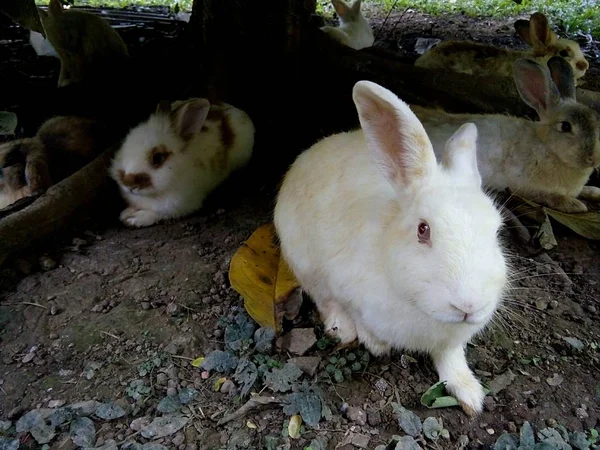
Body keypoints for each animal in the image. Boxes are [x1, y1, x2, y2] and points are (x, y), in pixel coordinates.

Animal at [109, 96, 254, 227]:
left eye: (158, 157)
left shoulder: (180, 206)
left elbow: (158, 214)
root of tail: (241, 112)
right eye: (124, 146)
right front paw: (126, 213)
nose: (129, 184)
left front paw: (133, 219)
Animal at [274, 79, 508, 416]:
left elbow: (451, 358)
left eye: (497, 231)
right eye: (423, 230)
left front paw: (470, 395)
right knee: (321, 297)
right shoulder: (344, 284)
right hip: (302, 259)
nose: (468, 305)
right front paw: (376, 343)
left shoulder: (451, 342)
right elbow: (351, 311)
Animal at [410, 56, 600, 214]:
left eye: (597, 122)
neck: (546, 146)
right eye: (565, 126)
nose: (593, 159)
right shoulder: (524, 187)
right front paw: (575, 205)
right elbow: (549, 196)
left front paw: (594, 192)